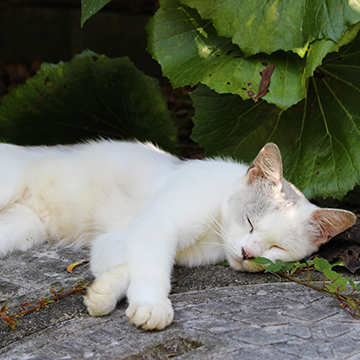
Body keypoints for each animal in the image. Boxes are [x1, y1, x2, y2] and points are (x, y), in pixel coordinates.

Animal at [0, 139, 356, 330]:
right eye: (250, 222)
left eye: (276, 248)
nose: (247, 254)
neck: (214, 231)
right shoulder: (159, 223)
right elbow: (153, 270)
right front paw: (152, 305)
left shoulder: (118, 239)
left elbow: (127, 266)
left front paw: (103, 294)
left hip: (21, 228)